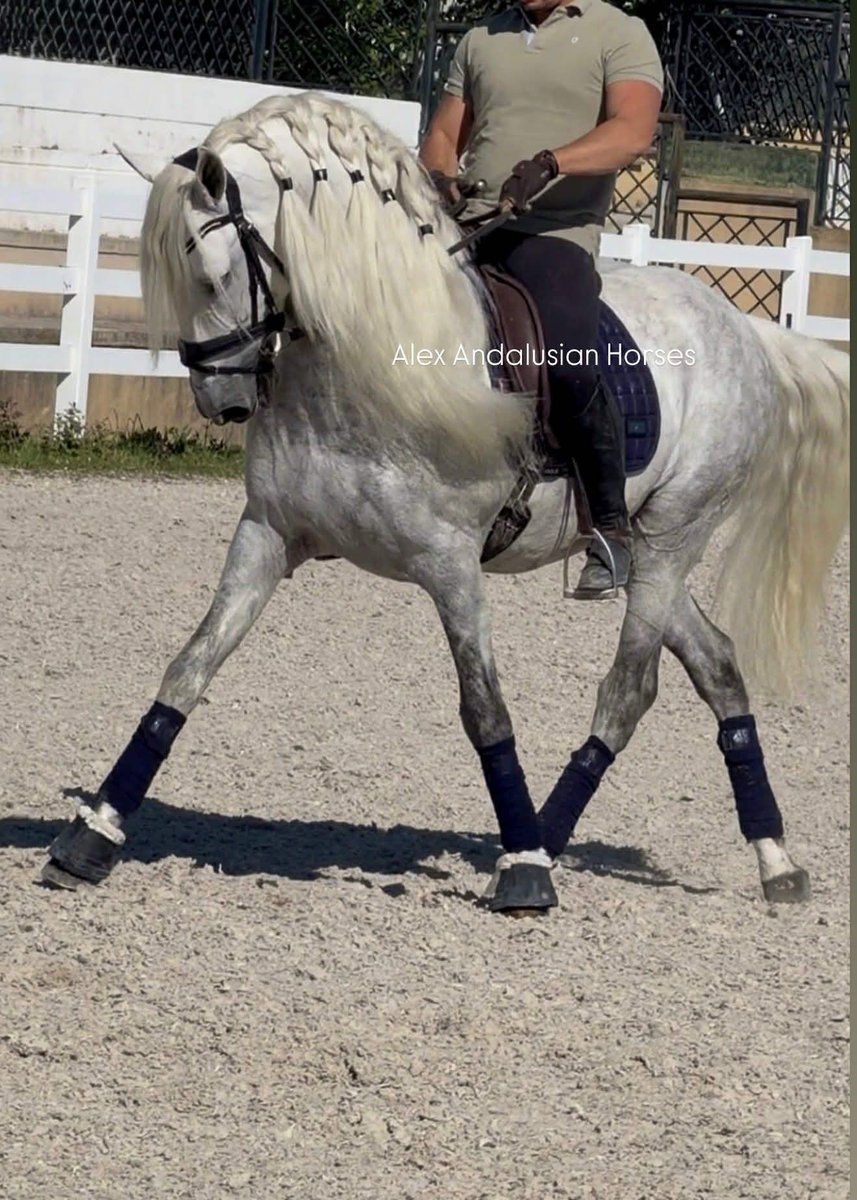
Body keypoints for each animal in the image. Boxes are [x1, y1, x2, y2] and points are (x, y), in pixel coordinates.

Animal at [43, 92, 849, 915]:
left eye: (211, 273)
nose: (219, 401)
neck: (362, 360)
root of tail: (745, 329)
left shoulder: (450, 564)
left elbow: (484, 709)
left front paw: (522, 868)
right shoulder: (266, 536)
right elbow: (189, 668)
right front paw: (92, 836)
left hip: (672, 539)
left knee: (627, 693)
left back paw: (546, 843)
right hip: (650, 555)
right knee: (715, 661)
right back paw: (771, 859)